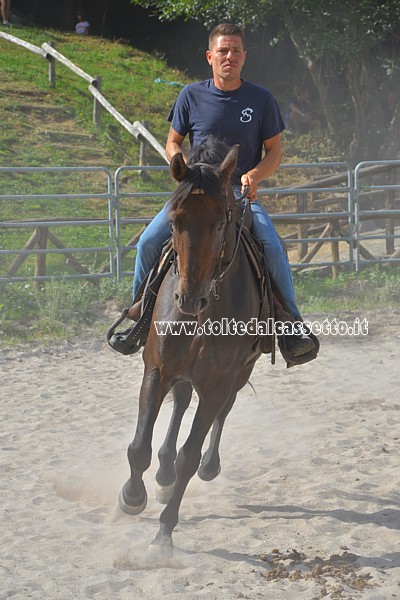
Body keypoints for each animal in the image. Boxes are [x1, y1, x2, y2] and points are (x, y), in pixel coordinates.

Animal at [119, 138, 268, 556]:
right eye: (174, 221)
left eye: (220, 222)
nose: (189, 298)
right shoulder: (156, 369)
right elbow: (139, 447)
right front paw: (132, 497)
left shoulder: (218, 383)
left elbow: (191, 452)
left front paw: (165, 532)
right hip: (181, 371)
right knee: (182, 402)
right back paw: (163, 473)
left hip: (239, 373)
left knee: (221, 412)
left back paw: (207, 465)